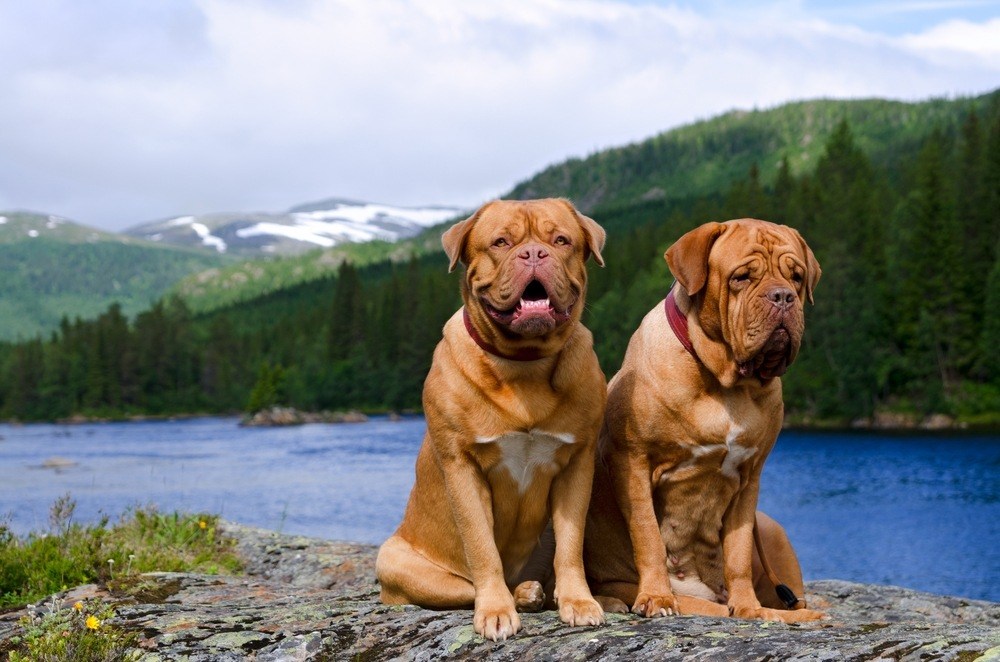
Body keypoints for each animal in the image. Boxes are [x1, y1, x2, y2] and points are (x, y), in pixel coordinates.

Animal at [376, 198, 604, 644]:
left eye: (561, 240)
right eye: (500, 242)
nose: (533, 253)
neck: (524, 365)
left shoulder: (577, 464)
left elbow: (571, 545)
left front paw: (578, 601)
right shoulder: (463, 466)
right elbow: (482, 547)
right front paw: (496, 611)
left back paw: (535, 591)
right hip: (392, 559)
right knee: (463, 586)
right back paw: (516, 596)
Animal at [584, 220, 824, 624]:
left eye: (797, 276)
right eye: (741, 277)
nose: (783, 297)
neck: (725, 384)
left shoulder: (749, 479)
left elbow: (738, 551)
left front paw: (748, 607)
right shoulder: (633, 462)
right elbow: (648, 535)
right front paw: (657, 597)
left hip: (774, 534)